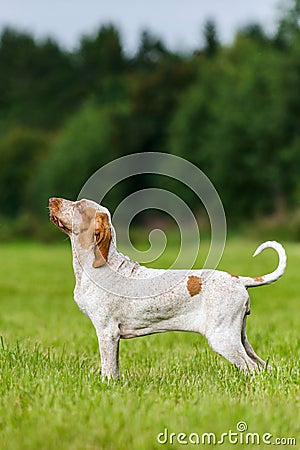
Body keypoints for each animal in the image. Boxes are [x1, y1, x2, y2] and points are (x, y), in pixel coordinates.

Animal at [48, 199, 286, 378]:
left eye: (78, 206)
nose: (52, 200)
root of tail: (238, 279)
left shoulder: (107, 332)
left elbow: (108, 370)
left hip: (223, 338)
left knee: (252, 368)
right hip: (239, 337)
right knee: (262, 366)